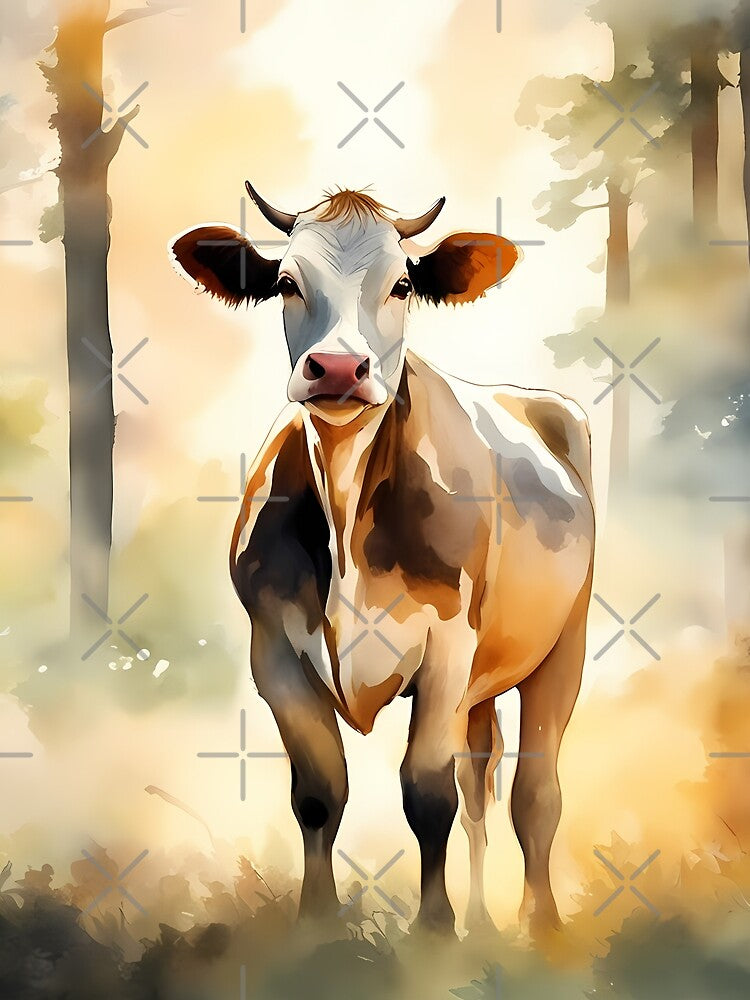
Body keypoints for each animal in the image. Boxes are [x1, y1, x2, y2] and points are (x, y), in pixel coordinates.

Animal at [170, 184, 595, 939]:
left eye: (401, 285)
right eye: (287, 282)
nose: (339, 368)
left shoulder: (448, 648)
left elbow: (427, 794)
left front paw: (434, 933)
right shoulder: (272, 649)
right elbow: (319, 793)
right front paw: (318, 929)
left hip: (561, 647)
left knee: (534, 793)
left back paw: (539, 925)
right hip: (483, 684)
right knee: (481, 781)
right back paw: (484, 921)